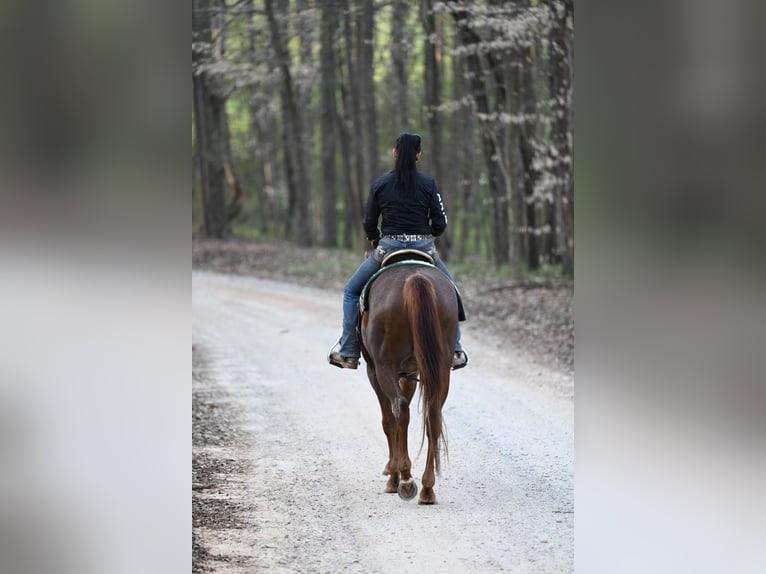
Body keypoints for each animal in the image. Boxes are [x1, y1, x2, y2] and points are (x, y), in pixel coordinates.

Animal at [359, 260, 459, 505]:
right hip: (441, 367)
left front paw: (392, 473)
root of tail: (416, 279)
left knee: (400, 409)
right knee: (433, 414)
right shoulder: (410, 373)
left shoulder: (374, 370)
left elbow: (388, 420)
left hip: (383, 367)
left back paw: (404, 478)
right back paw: (427, 489)